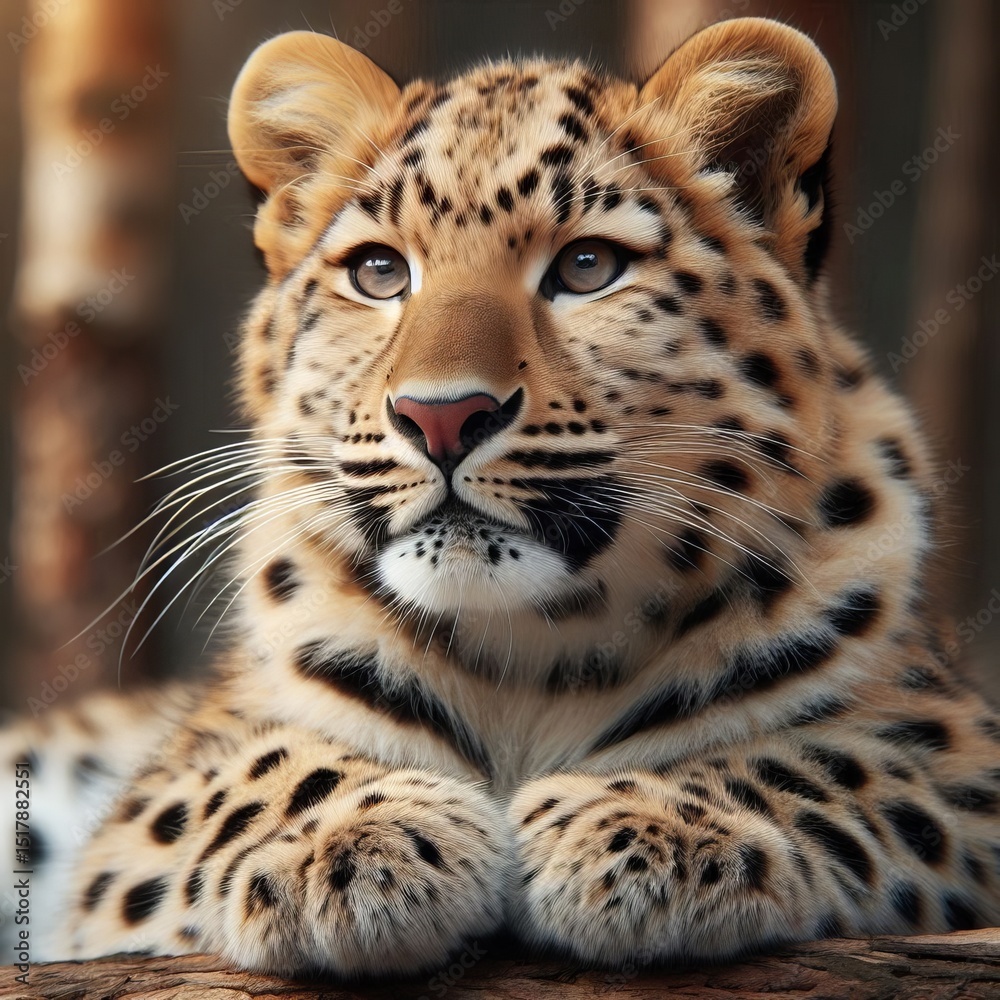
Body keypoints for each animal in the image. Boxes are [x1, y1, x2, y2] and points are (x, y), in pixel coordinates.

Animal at [5, 15, 1000, 979]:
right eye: (379, 273)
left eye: (589, 266)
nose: (441, 416)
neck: (533, 650)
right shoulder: (157, 797)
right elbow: (254, 769)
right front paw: (355, 843)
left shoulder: (954, 744)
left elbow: (838, 761)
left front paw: (652, 825)